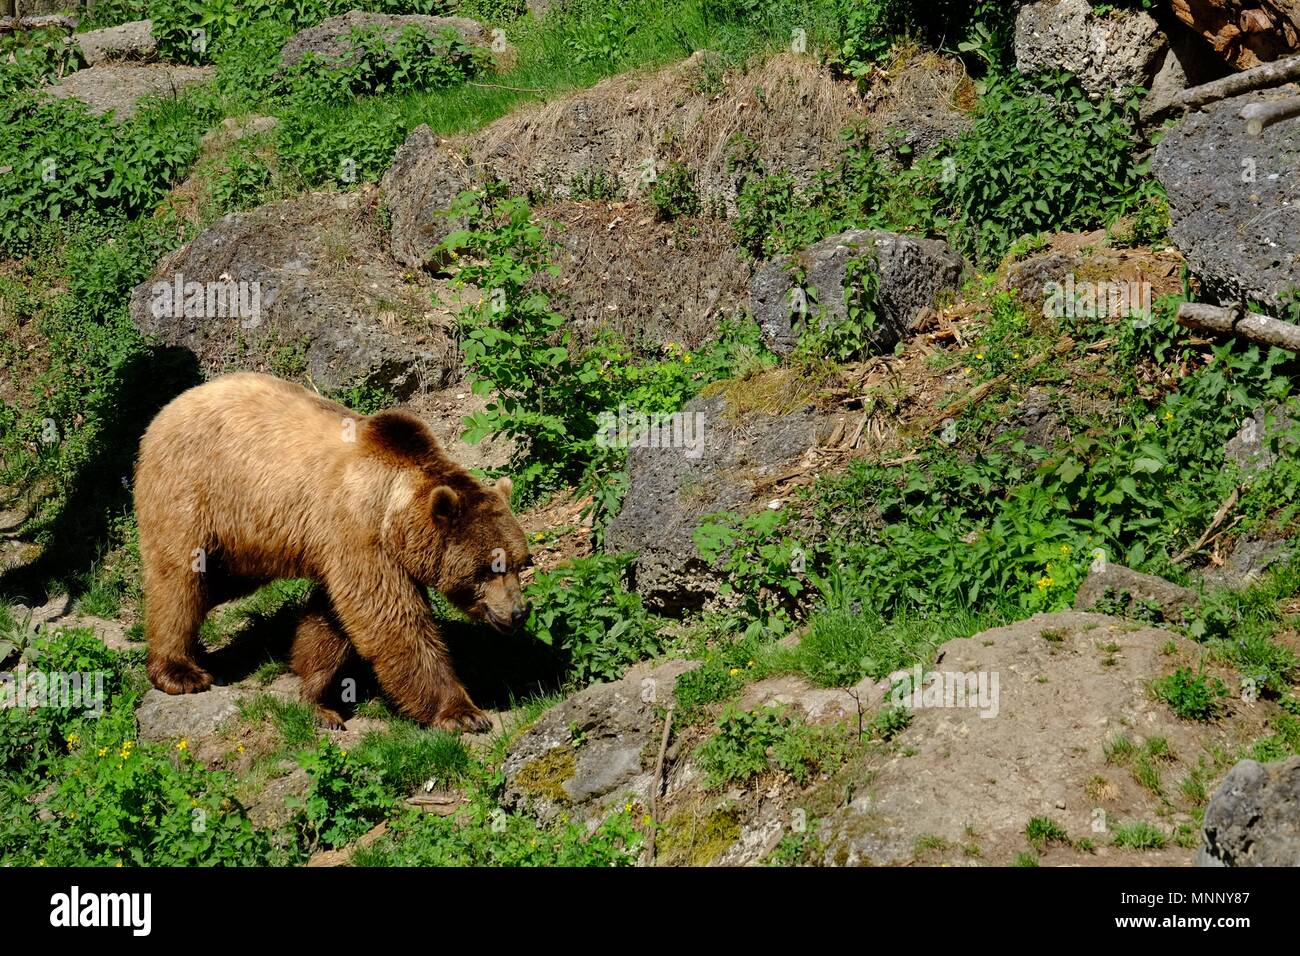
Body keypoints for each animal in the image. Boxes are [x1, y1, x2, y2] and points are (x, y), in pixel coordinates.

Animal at [131, 369, 527, 728]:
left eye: (520, 562)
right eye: (489, 567)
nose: (518, 612)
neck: (393, 508)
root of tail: (168, 408)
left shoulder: (341, 548)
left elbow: (331, 620)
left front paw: (317, 699)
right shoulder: (359, 532)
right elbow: (392, 621)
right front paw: (462, 712)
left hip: (240, 542)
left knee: (213, 584)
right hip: (193, 488)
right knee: (179, 577)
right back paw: (180, 671)